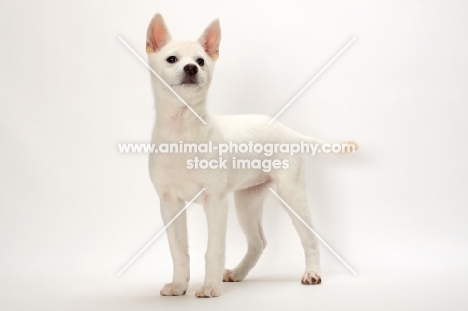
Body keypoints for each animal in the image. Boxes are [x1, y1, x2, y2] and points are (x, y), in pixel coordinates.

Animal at [144, 13, 356, 298]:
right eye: (171, 59)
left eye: (201, 61)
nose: (191, 69)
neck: (182, 129)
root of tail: (288, 131)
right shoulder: (169, 204)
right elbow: (178, 250)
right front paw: (179, 286)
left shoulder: (216, 202)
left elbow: (214, 249)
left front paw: (209, 287)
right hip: (247, 200)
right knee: (258, 242)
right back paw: (238, 272)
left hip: (292, 194)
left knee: (309, 238)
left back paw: (312, 273)